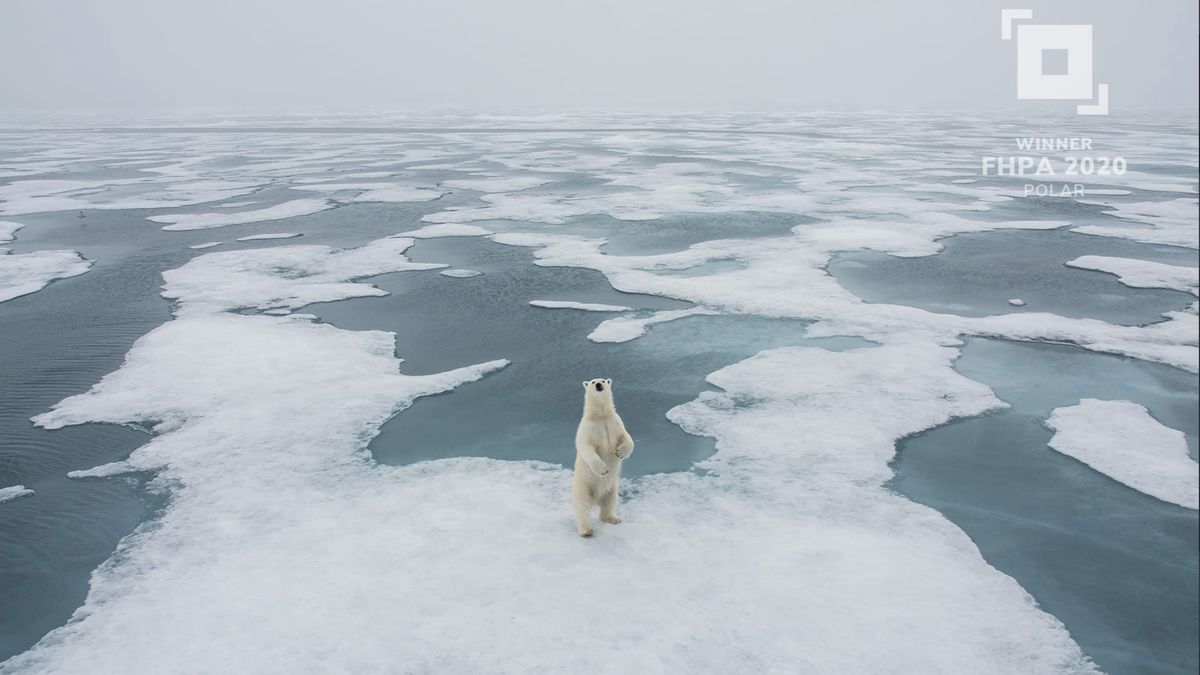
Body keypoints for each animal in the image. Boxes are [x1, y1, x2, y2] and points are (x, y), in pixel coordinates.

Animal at [573, 372, 638, 535]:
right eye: (592, 382)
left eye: (603, 380)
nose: (598, 385)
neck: (601, 416)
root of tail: (596, 499)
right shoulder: (588, 427)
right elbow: (585, 446)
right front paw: (602, 469)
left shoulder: (615, 422)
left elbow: (626, 436)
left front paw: (621, 452)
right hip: (583, 486)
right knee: (582, 506)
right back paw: (586, 530)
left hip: (612, 487)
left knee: (610, 502)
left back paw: (613, 518)